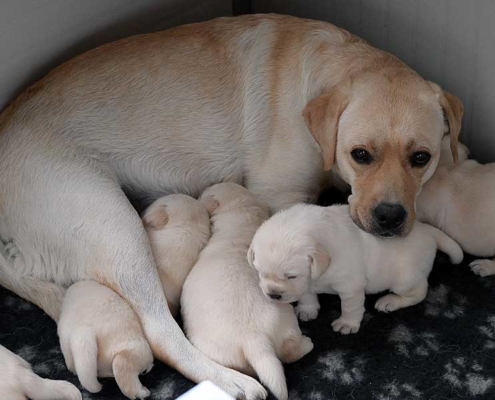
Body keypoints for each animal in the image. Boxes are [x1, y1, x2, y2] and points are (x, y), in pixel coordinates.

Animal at [181, 184, 314, 400]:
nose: (197, 195)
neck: (241, 222)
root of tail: (255, 339)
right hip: (287, 324)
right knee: (289, 352)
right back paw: (306, 344)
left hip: (212, 348)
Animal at [250, 203, 464, 334]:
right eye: (261, 274)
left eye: (291, 276)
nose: (273, 295)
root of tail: (428, 230)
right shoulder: (308, 282)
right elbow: (307, 295)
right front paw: (307, 310)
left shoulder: (350, 287)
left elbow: (350, 307)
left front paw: (347, 323)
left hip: (406, 278)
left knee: (418, 293)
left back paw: (390, 301)